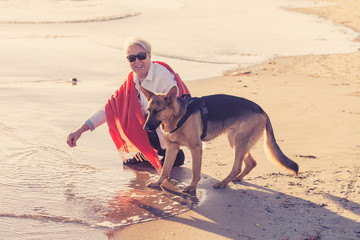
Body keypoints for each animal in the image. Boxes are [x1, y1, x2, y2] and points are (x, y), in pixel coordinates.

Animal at [141, 85, 298, 192]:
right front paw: (158, 182)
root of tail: (262, 110)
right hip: (236, 141)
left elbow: (195, 171)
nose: (145, 128)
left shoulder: (196, 148)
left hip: (238, 141)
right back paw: (235, 179)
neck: (179, 115)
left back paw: (223, 182)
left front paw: (192, 187)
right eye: (149, 110)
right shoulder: (172, 148)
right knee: (250, 163)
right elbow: (165, 169)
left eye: (158, 111)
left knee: (237, 167)